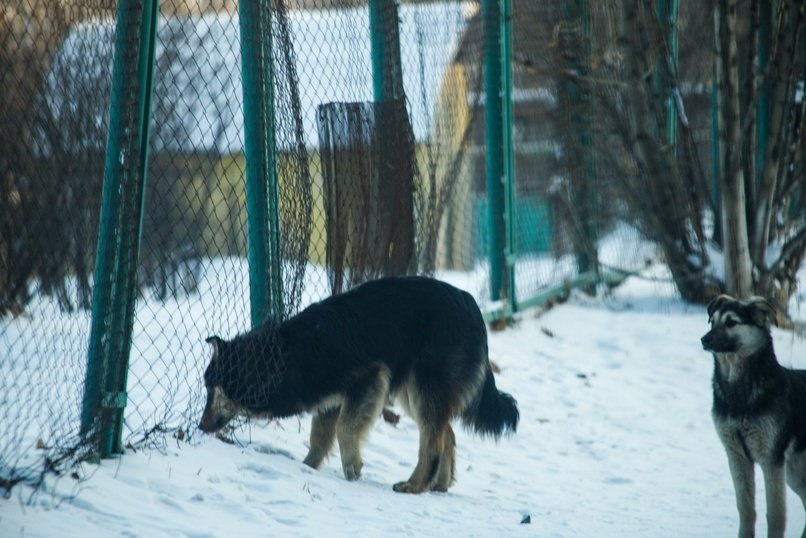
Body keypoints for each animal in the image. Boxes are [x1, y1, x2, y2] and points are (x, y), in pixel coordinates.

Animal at [199, 276, 520, 490]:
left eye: (211, 390)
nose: (200, 427)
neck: (284, 356)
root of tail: (472, 307)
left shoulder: (368, 380)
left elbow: (345, 429)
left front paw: (351, 466)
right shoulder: (329, 400)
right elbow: (319, 439)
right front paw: (307, 468)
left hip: (422, 389)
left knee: (431, 442)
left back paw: (415, 485)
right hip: (413, 392)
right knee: (446, 435)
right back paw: (438, 485)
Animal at [700, 296, 806, 532]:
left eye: (731, 323)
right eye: (713, 322)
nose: (703, 340)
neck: (740, 396)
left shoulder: (771, 459)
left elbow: (776, 515)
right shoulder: (736, 455)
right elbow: (746, 509)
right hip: (794, 472)